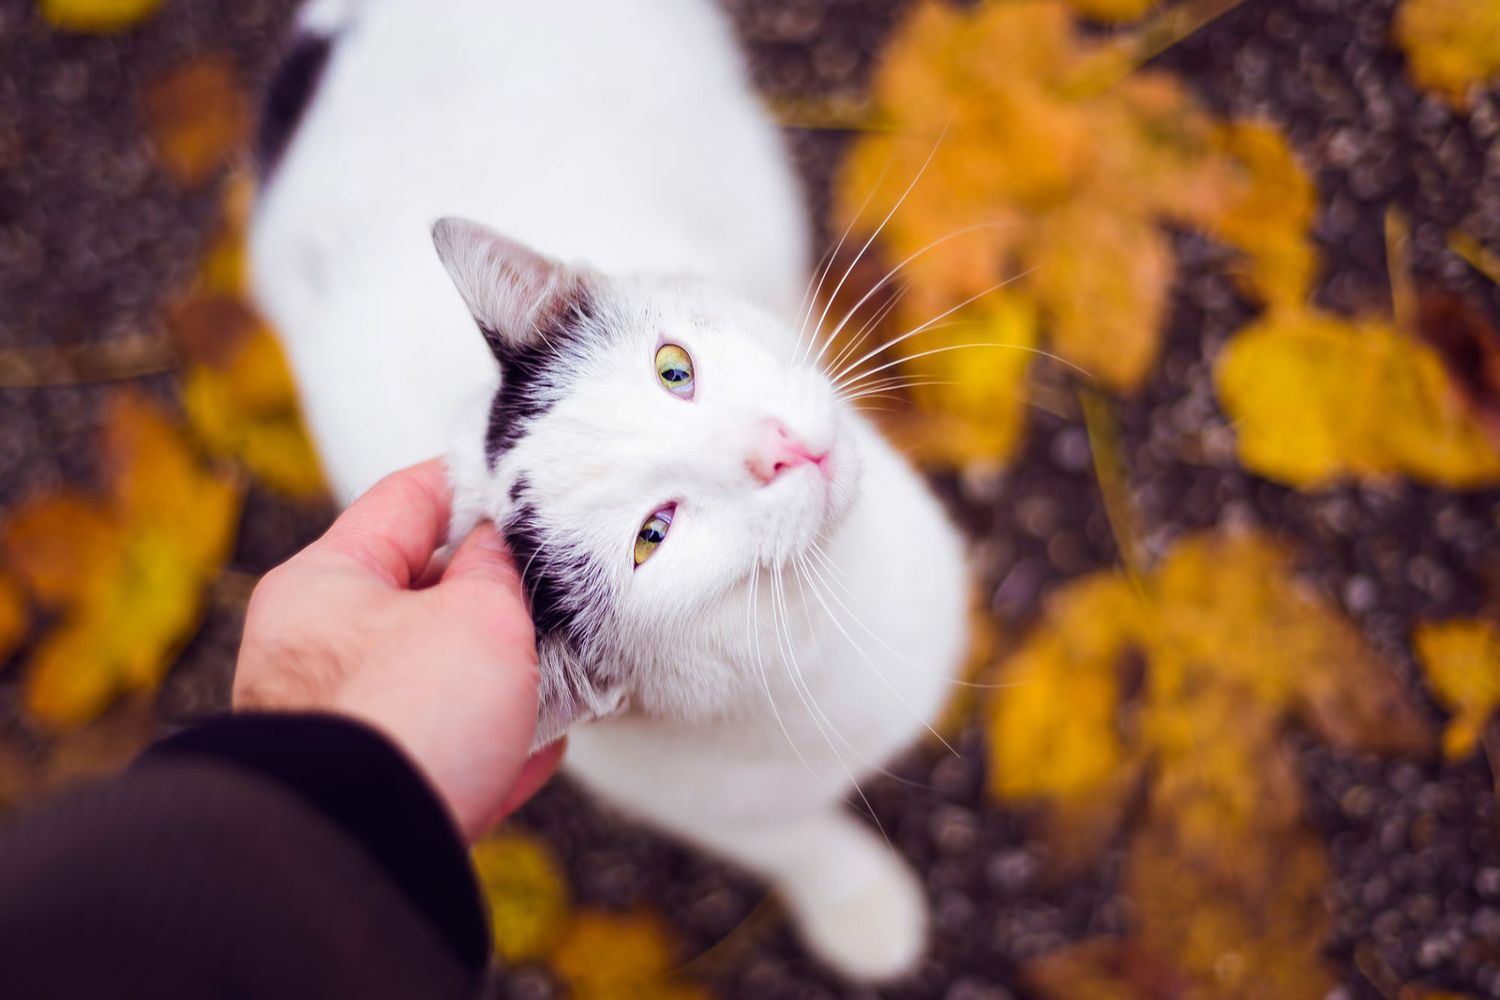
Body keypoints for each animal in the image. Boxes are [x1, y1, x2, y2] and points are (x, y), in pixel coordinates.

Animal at [250, 0, 966, 983]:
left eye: (674, 370)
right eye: (652, 536)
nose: (775, 451)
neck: (836, 617)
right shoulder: (692, 798)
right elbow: (796, 843)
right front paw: (859, 906)